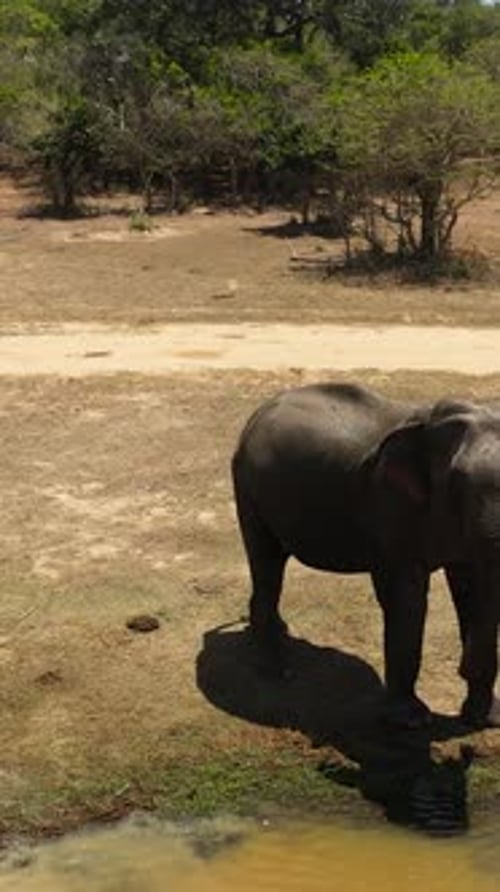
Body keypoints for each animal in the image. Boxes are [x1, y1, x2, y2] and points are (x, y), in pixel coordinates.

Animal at [231, 381, 500, 730]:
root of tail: (257, 414)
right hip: (248, 487)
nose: (462, 668)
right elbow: (406, 598)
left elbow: (470, 587)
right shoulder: (390, 507)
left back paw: (279, 632)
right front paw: (412, 721)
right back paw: (274, 669)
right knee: (266, 562)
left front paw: (487, 718)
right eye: (456, 481)